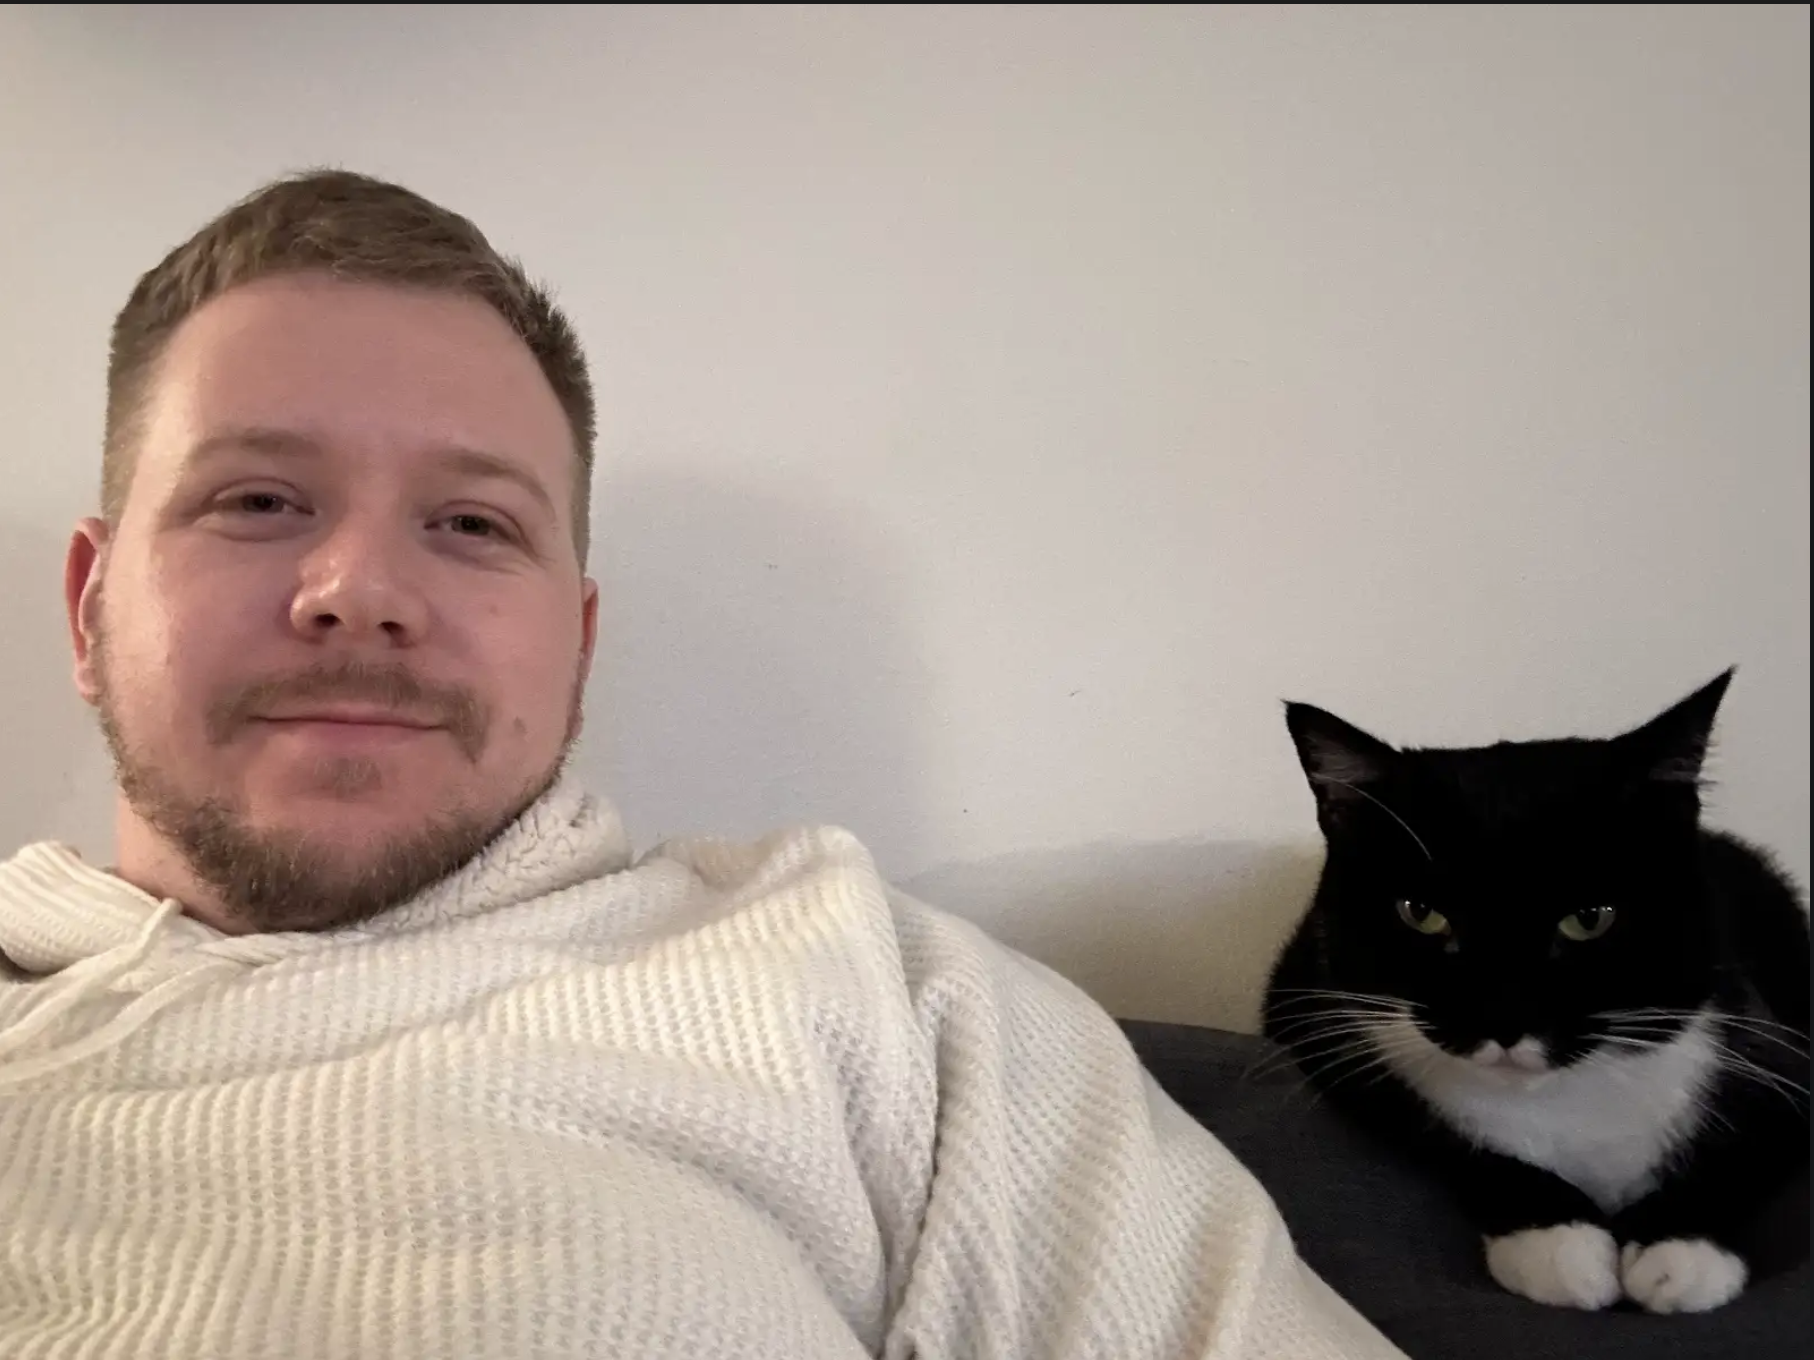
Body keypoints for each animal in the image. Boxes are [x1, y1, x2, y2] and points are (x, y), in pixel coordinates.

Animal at [1269, 678, 1806, 1312]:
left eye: (1590, 918)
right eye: (1421, 913)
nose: (1504, 1018)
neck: (1560, 1100)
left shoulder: (1773, 1046)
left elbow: (1757, 1142)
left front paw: (1680, 1251)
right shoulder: (1313, 1013)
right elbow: (1439, 1134)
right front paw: (1559, 1243)